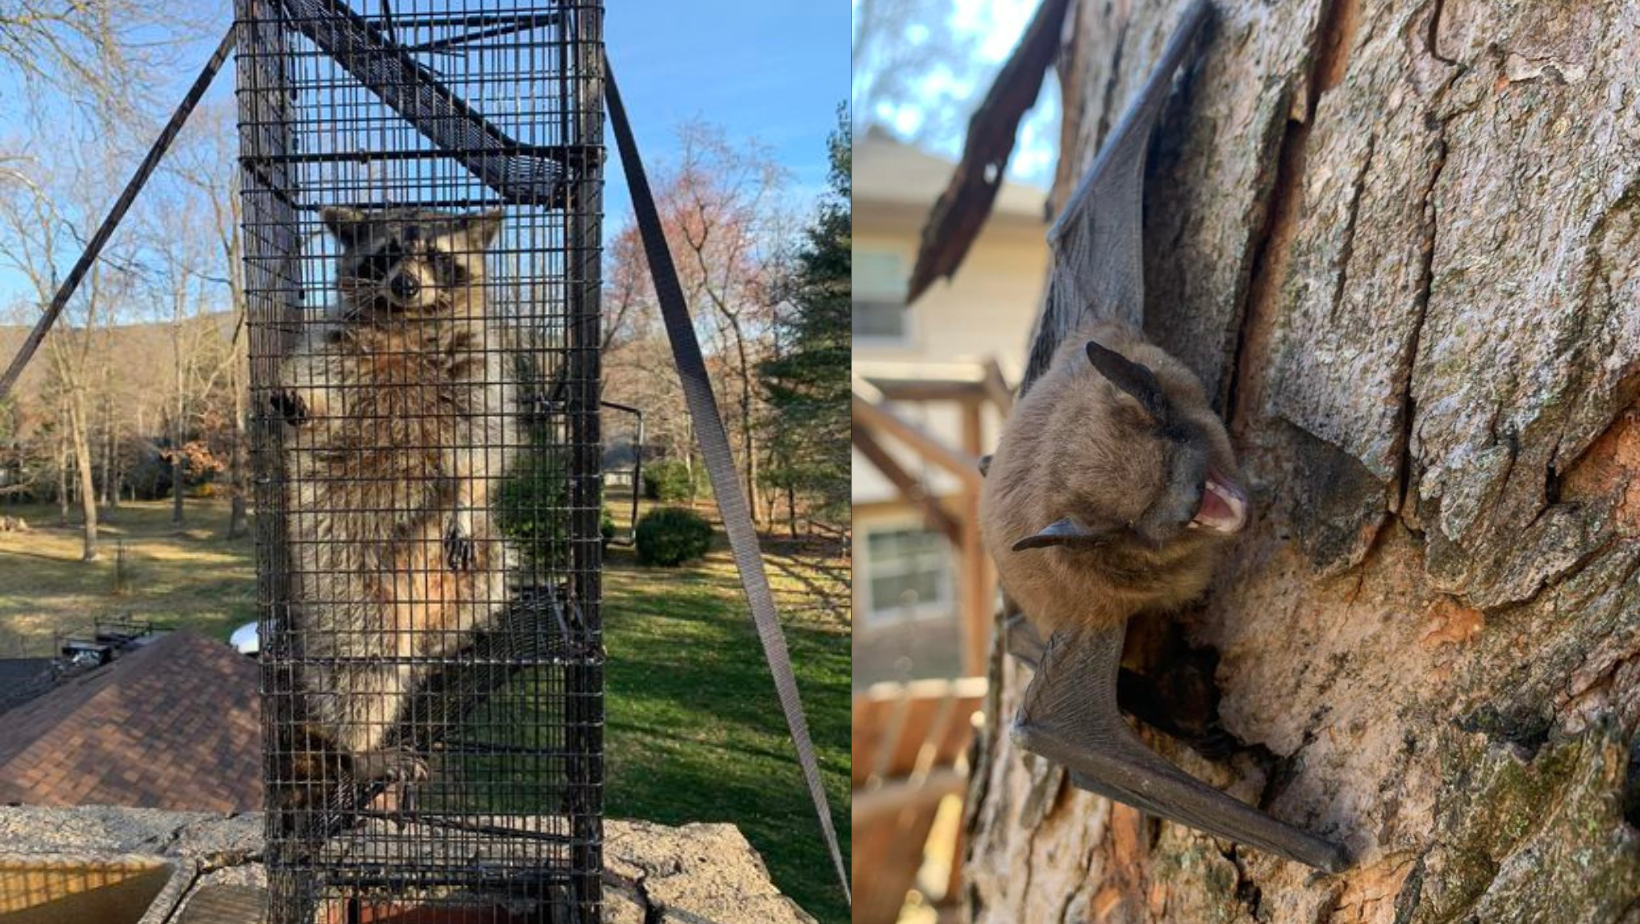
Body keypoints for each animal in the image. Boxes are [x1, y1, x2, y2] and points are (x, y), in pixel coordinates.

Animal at [272, 206, 516, 789]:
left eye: (435, 255)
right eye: (385, 254)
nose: (406, 284)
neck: (406, 323)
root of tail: (417, 616)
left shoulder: (479, 362)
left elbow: (482, 444)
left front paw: (465, 499)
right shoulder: (334, 347)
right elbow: (320, 398)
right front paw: (303, 407)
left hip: (477, 569)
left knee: (491, 567)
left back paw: (452, 639)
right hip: (341, 571)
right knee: (361, 656)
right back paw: (360, 746)